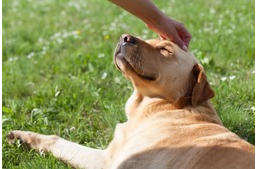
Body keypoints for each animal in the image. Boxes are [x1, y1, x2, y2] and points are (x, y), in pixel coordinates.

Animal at [7, 33, 255, 168]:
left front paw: (24, 137)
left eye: (165, 50)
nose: (124, 37)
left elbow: (58, 141)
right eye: (150, 39)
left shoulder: (107, 160)